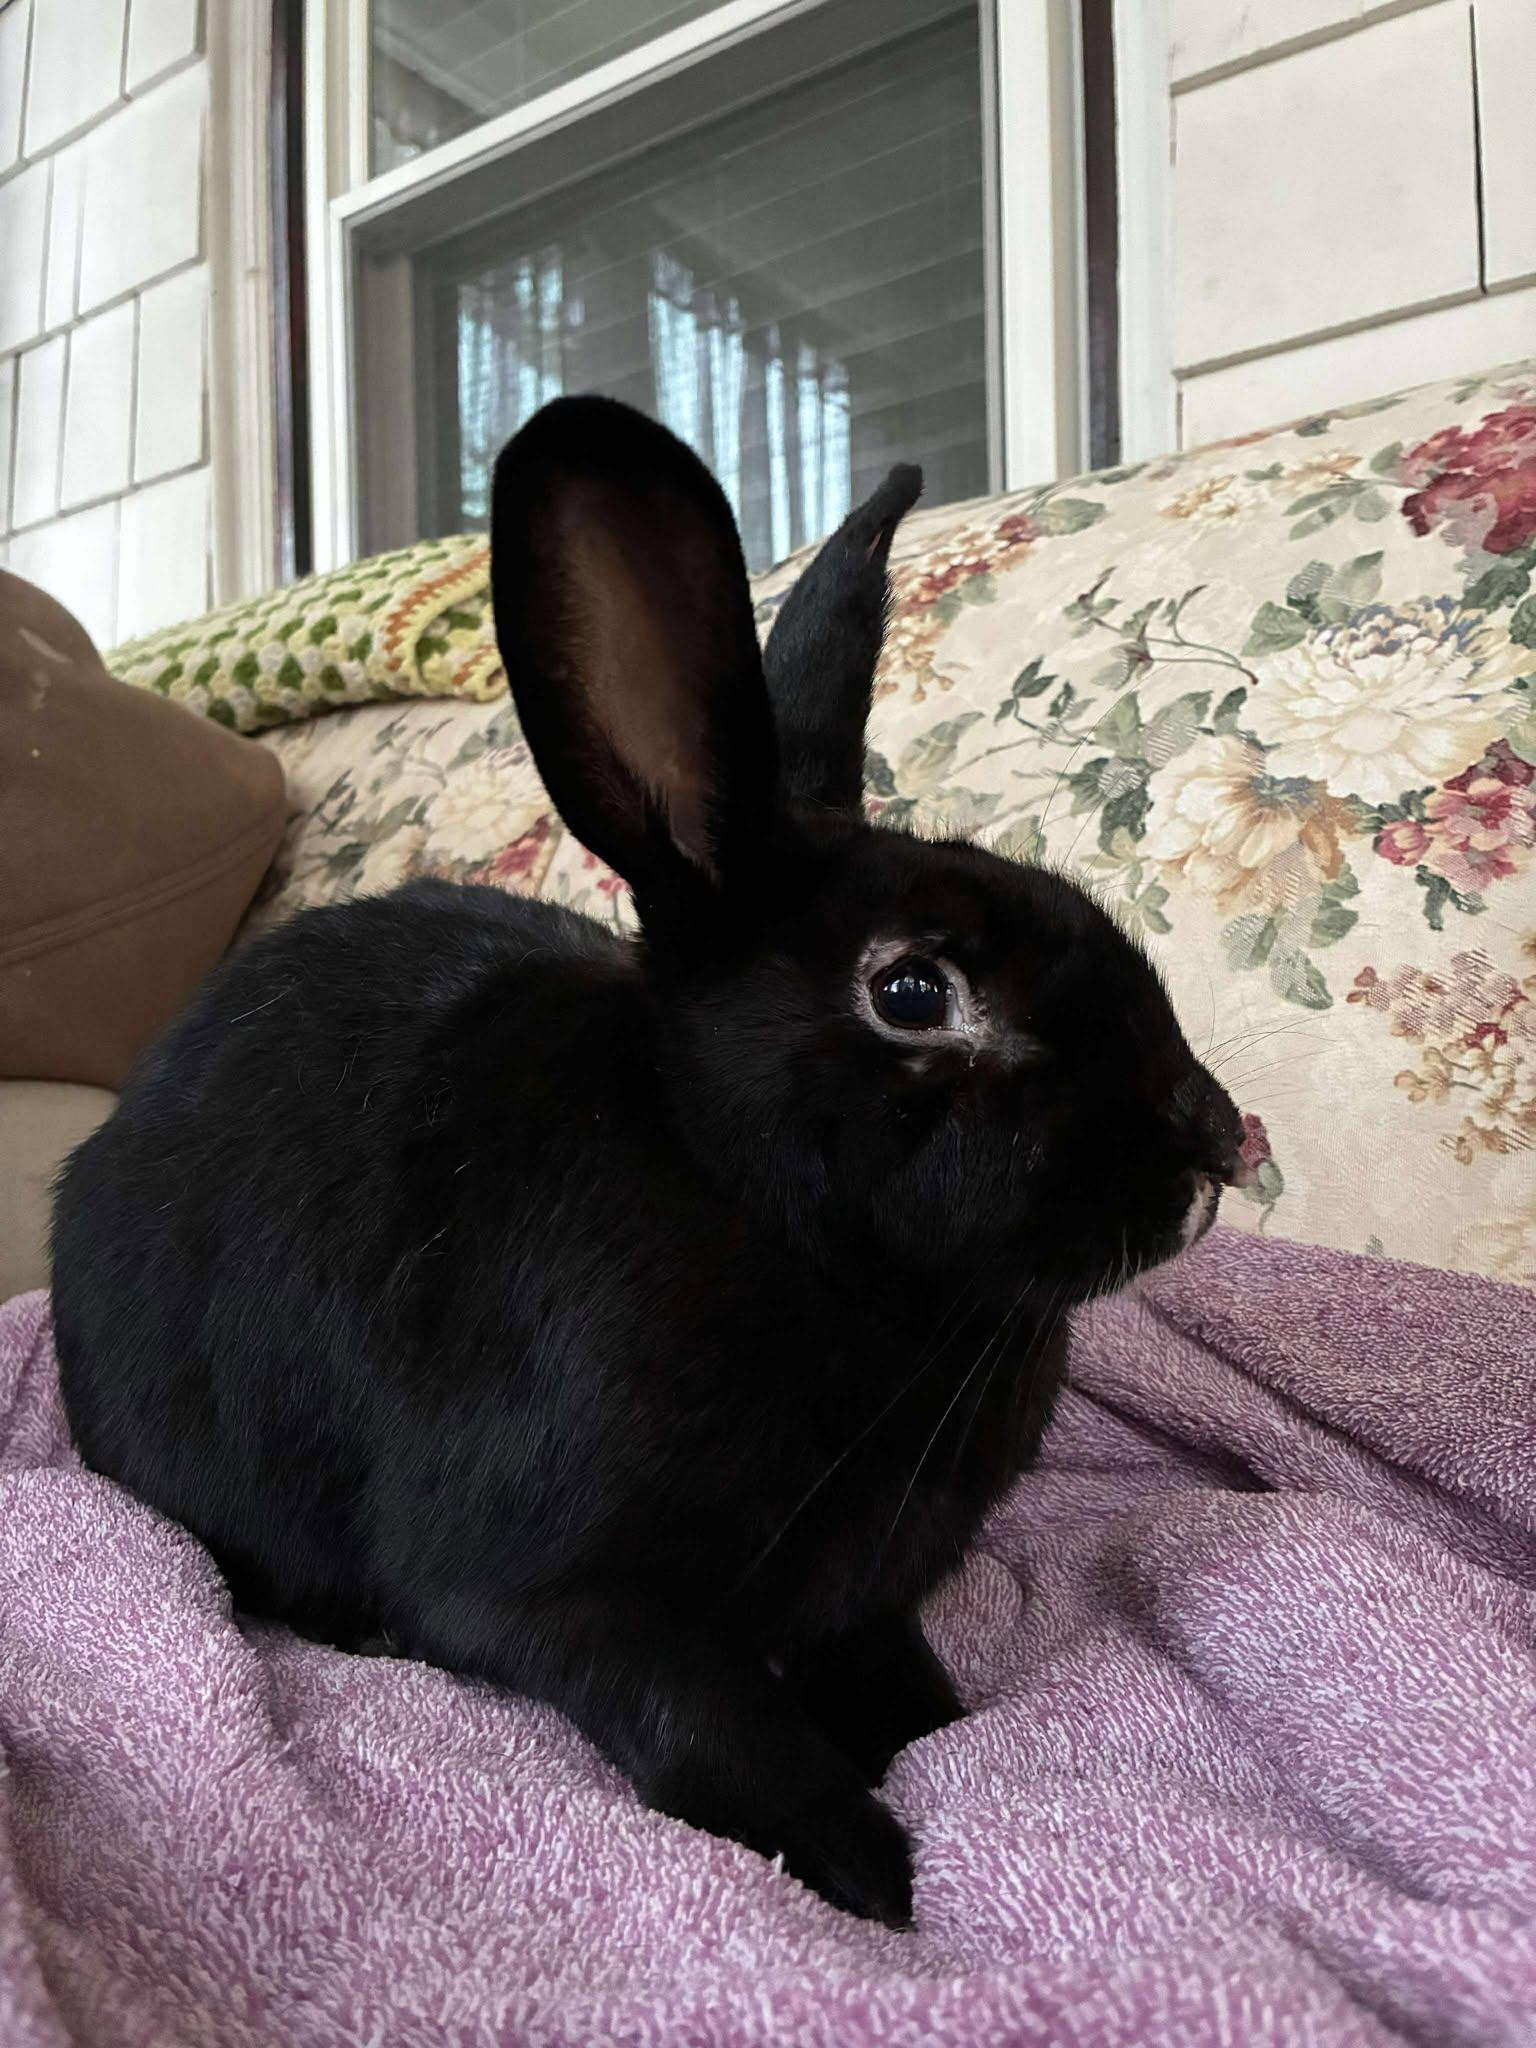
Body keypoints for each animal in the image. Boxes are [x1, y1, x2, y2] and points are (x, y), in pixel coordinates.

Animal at [52, 396, 1246, 1929]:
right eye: (913, 992)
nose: (1215, 1140)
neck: (768, 1218)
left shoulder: (863, 1599)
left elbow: (898, 1681)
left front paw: (945, 1738)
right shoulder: (562, 1596)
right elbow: (705, 1721)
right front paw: (867, 1866)